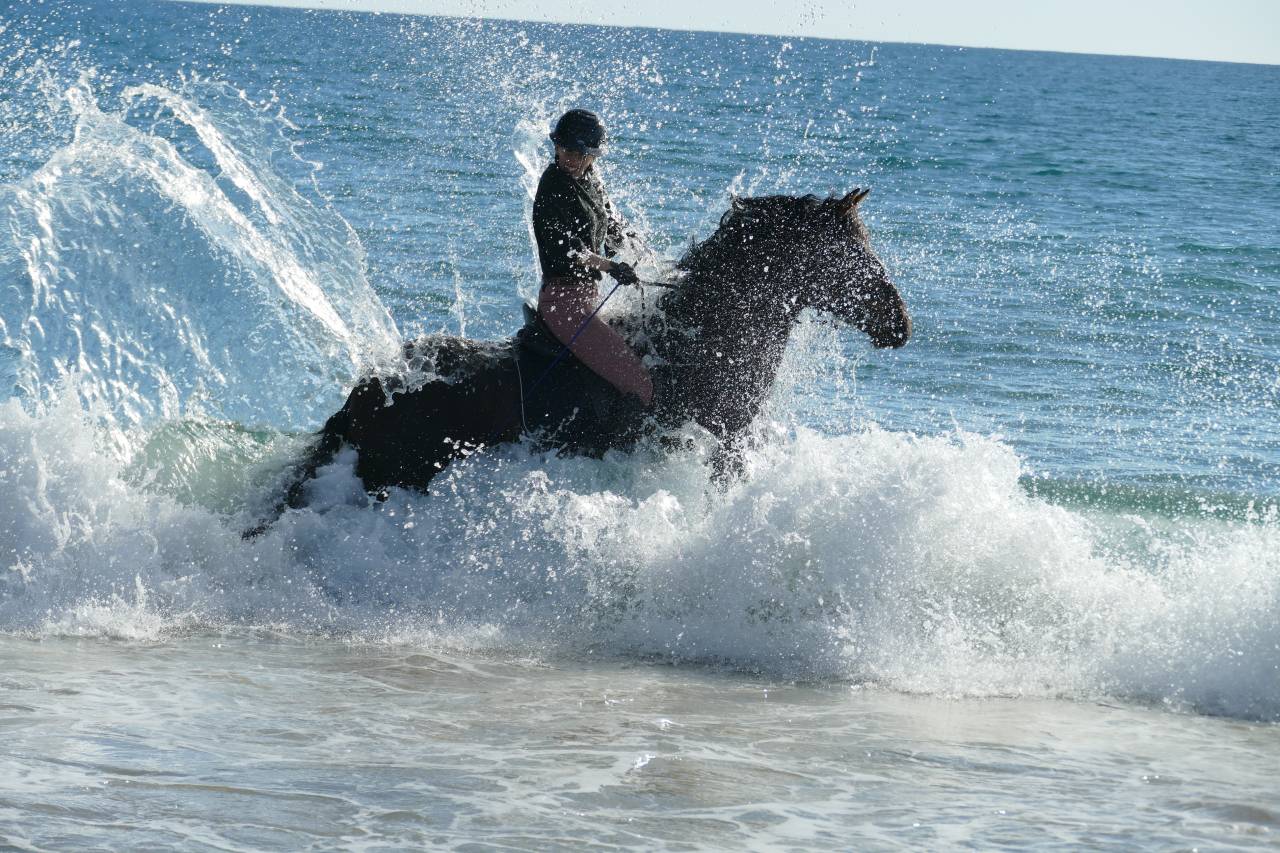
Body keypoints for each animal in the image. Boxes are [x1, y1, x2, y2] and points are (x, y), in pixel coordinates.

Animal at [251, 188, 909, 532]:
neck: (704, 339)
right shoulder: (727, 443)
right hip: (395, 476)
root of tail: (371, 390)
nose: (900, 325)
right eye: (854, 255)